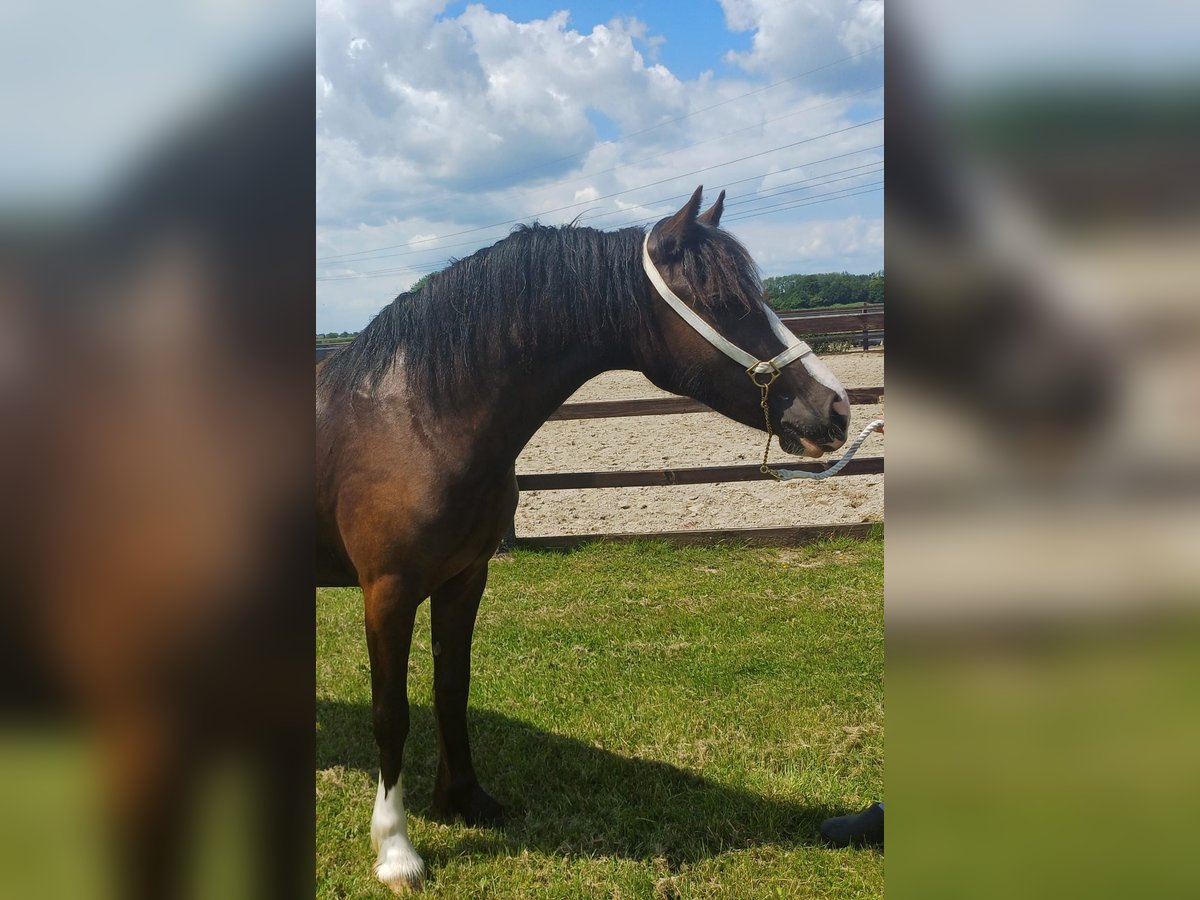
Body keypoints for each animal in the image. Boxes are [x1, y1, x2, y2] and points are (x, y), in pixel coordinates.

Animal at [314, 187, 849, 892]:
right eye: (725, 302)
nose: (836, 409)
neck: (417, 417)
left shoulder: (464, 579)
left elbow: (451, 689)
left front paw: (465, 801)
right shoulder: (388, 592)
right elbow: (390, 714)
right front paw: (398, 851)